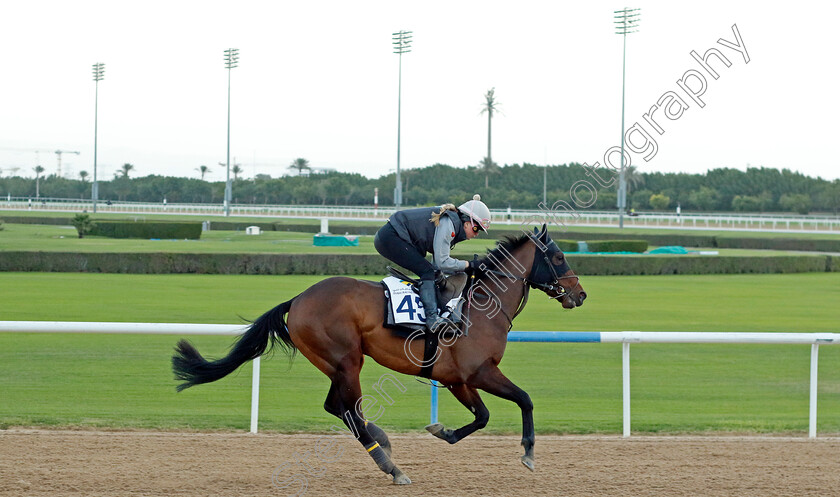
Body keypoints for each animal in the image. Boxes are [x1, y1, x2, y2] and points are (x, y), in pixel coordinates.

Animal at [172, 224, 584, 484]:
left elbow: (481, 417)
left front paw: (442, 430)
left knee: (337, 407)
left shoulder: (455, 379)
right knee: (351, 411)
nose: (580, 294)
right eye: (559, 257)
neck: (482, 308)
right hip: (346, 360)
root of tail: (299, 299)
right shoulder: (478, 372)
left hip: (336, 364)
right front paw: (528, 453)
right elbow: (524, 399)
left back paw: (382, 440)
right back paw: (391, 466)